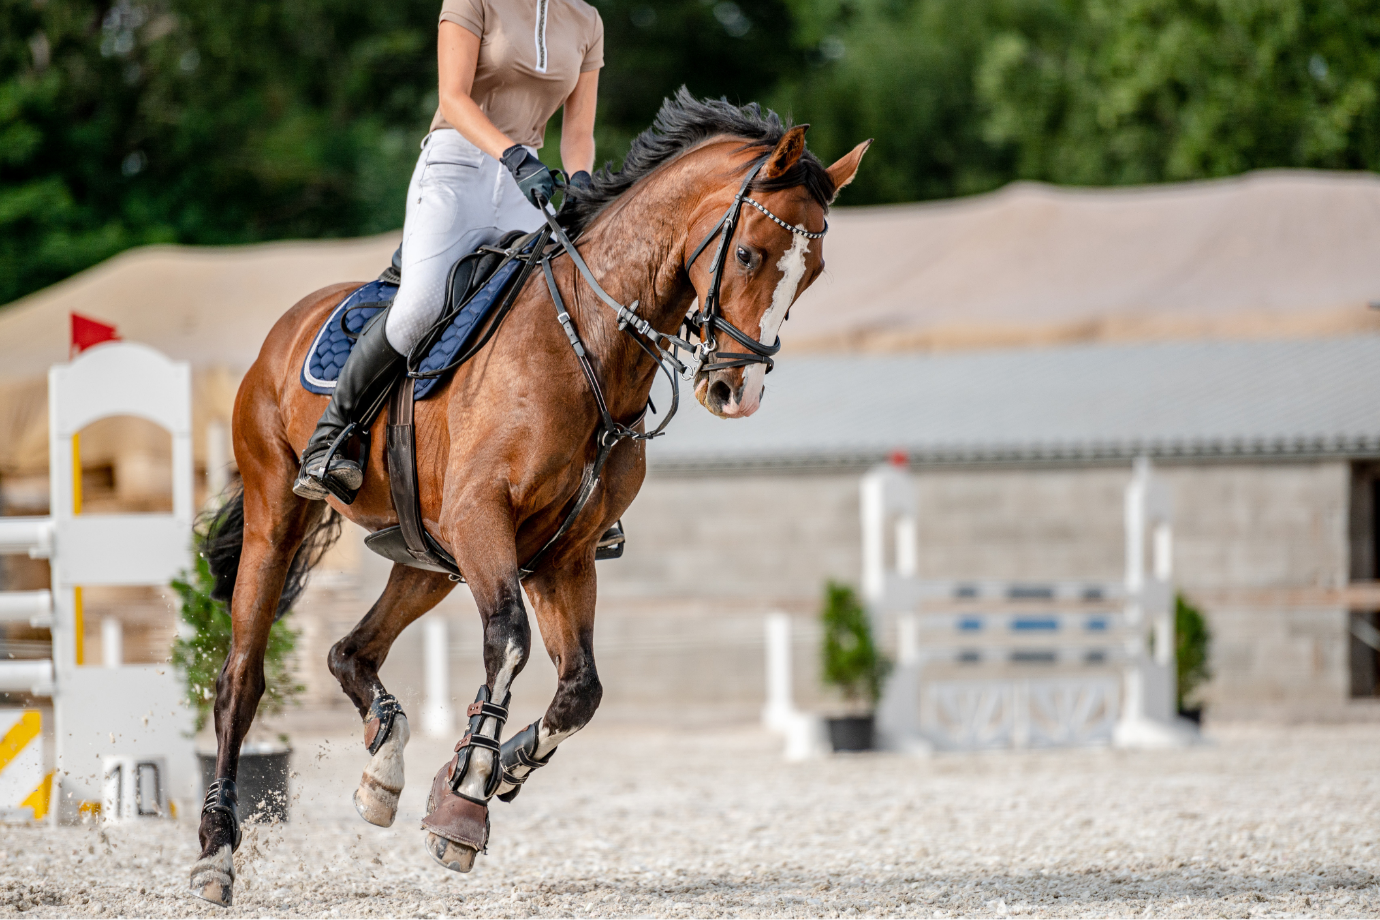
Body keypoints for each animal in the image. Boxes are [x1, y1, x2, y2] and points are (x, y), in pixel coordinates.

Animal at [189, 93, 866, 904]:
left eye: (815, 271)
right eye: (748, 255)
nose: (738, 391)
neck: (592, 342)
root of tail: (287, 328)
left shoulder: (562, 552)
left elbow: (580, 690)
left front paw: (491, 769)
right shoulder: (488, 519)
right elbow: (507, 644)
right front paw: (465, 802)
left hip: (430, 554)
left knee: (350, 650)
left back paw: (384, 768)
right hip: (280, 518)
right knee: (241, 677)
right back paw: (217, 850)